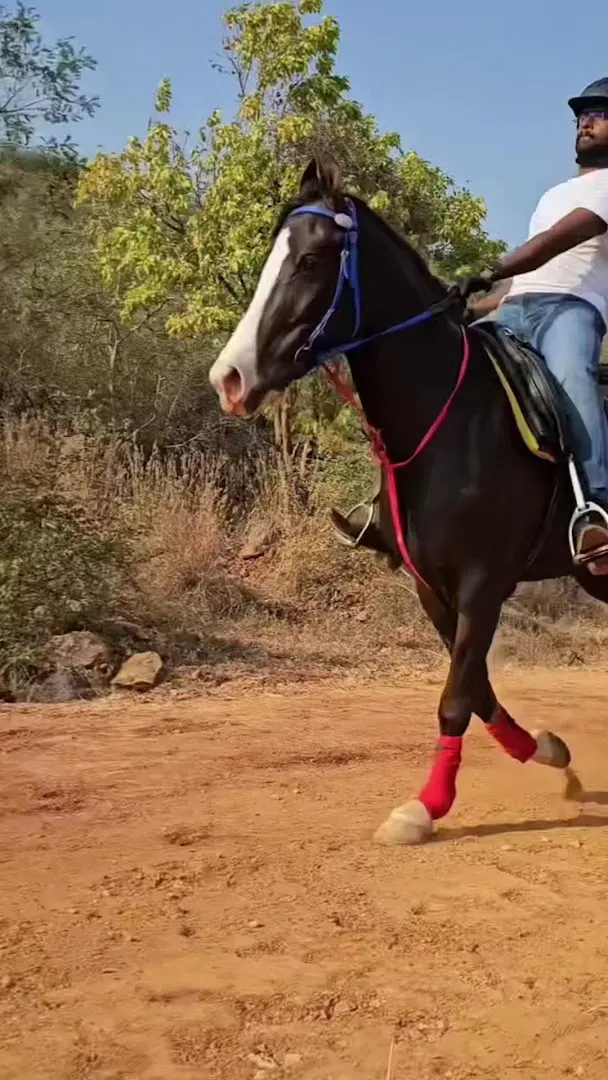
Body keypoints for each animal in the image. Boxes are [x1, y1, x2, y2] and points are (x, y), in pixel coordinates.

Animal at [209, 156, 605, 845]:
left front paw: (425, 807)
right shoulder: (430, 585)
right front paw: (549, 754)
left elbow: (456, 697)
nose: (229, 379)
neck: (452, 416)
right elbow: (475, 690)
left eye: (309, 261)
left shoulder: (483, 581)